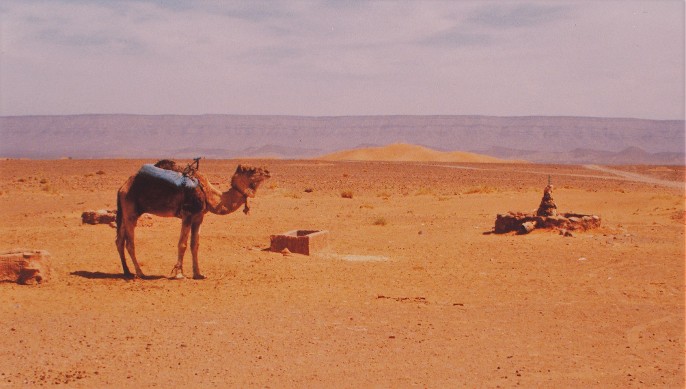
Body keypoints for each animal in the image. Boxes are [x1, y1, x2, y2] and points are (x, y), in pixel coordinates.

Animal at [115, 158, 272, 278]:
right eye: (251, 169)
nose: (268, 172)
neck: (207, 193)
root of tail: (122, 187)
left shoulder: (198, 216)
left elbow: (194, 245)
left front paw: (198, 274)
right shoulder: (187, 214)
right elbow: (182, 244)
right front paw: (179, 274)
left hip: (125, 211)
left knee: (119, 241)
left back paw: (127, 271)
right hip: (131, 210)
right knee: (129, 243)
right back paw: (140, 273)